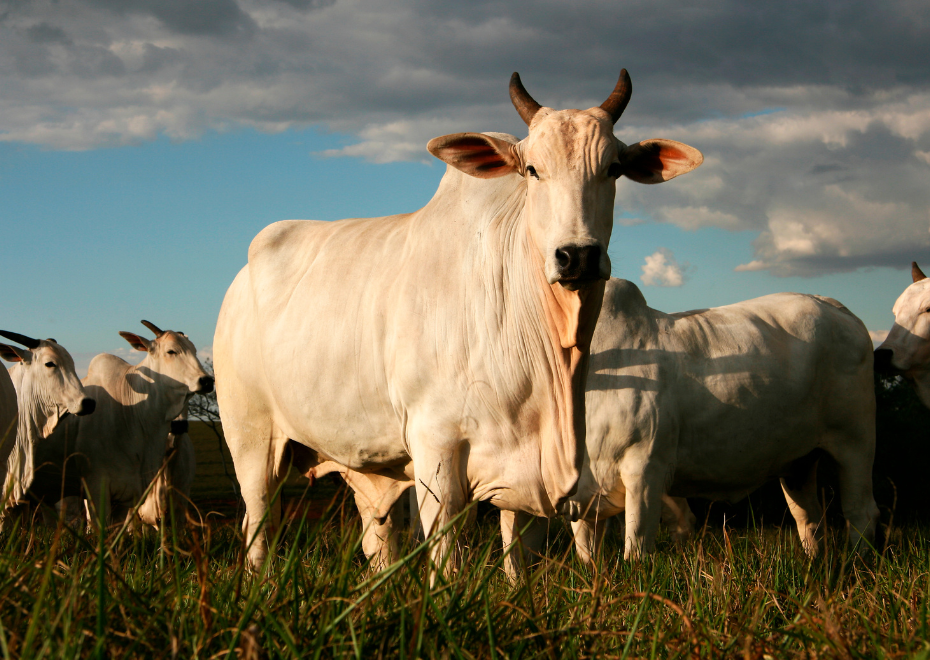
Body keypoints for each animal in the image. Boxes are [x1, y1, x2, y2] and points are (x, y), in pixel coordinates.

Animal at [214, 69, 700, 568]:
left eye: (613, 169)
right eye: (532, 169)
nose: (577, 256)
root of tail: (241, 278)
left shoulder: (525, 479)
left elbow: (518, 557)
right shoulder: (436, 448)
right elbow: (446, 554)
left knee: (376, 536)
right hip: (251, 440)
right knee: (258, 527)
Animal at [504, 278, 872, 568]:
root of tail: (833, 305)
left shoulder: (645, 468)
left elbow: (637, 548)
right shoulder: (583, 498)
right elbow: (586, 554)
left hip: (854, 443)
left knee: (861, 513)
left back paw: (860, 566)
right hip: (798, 462)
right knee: (808, 518)